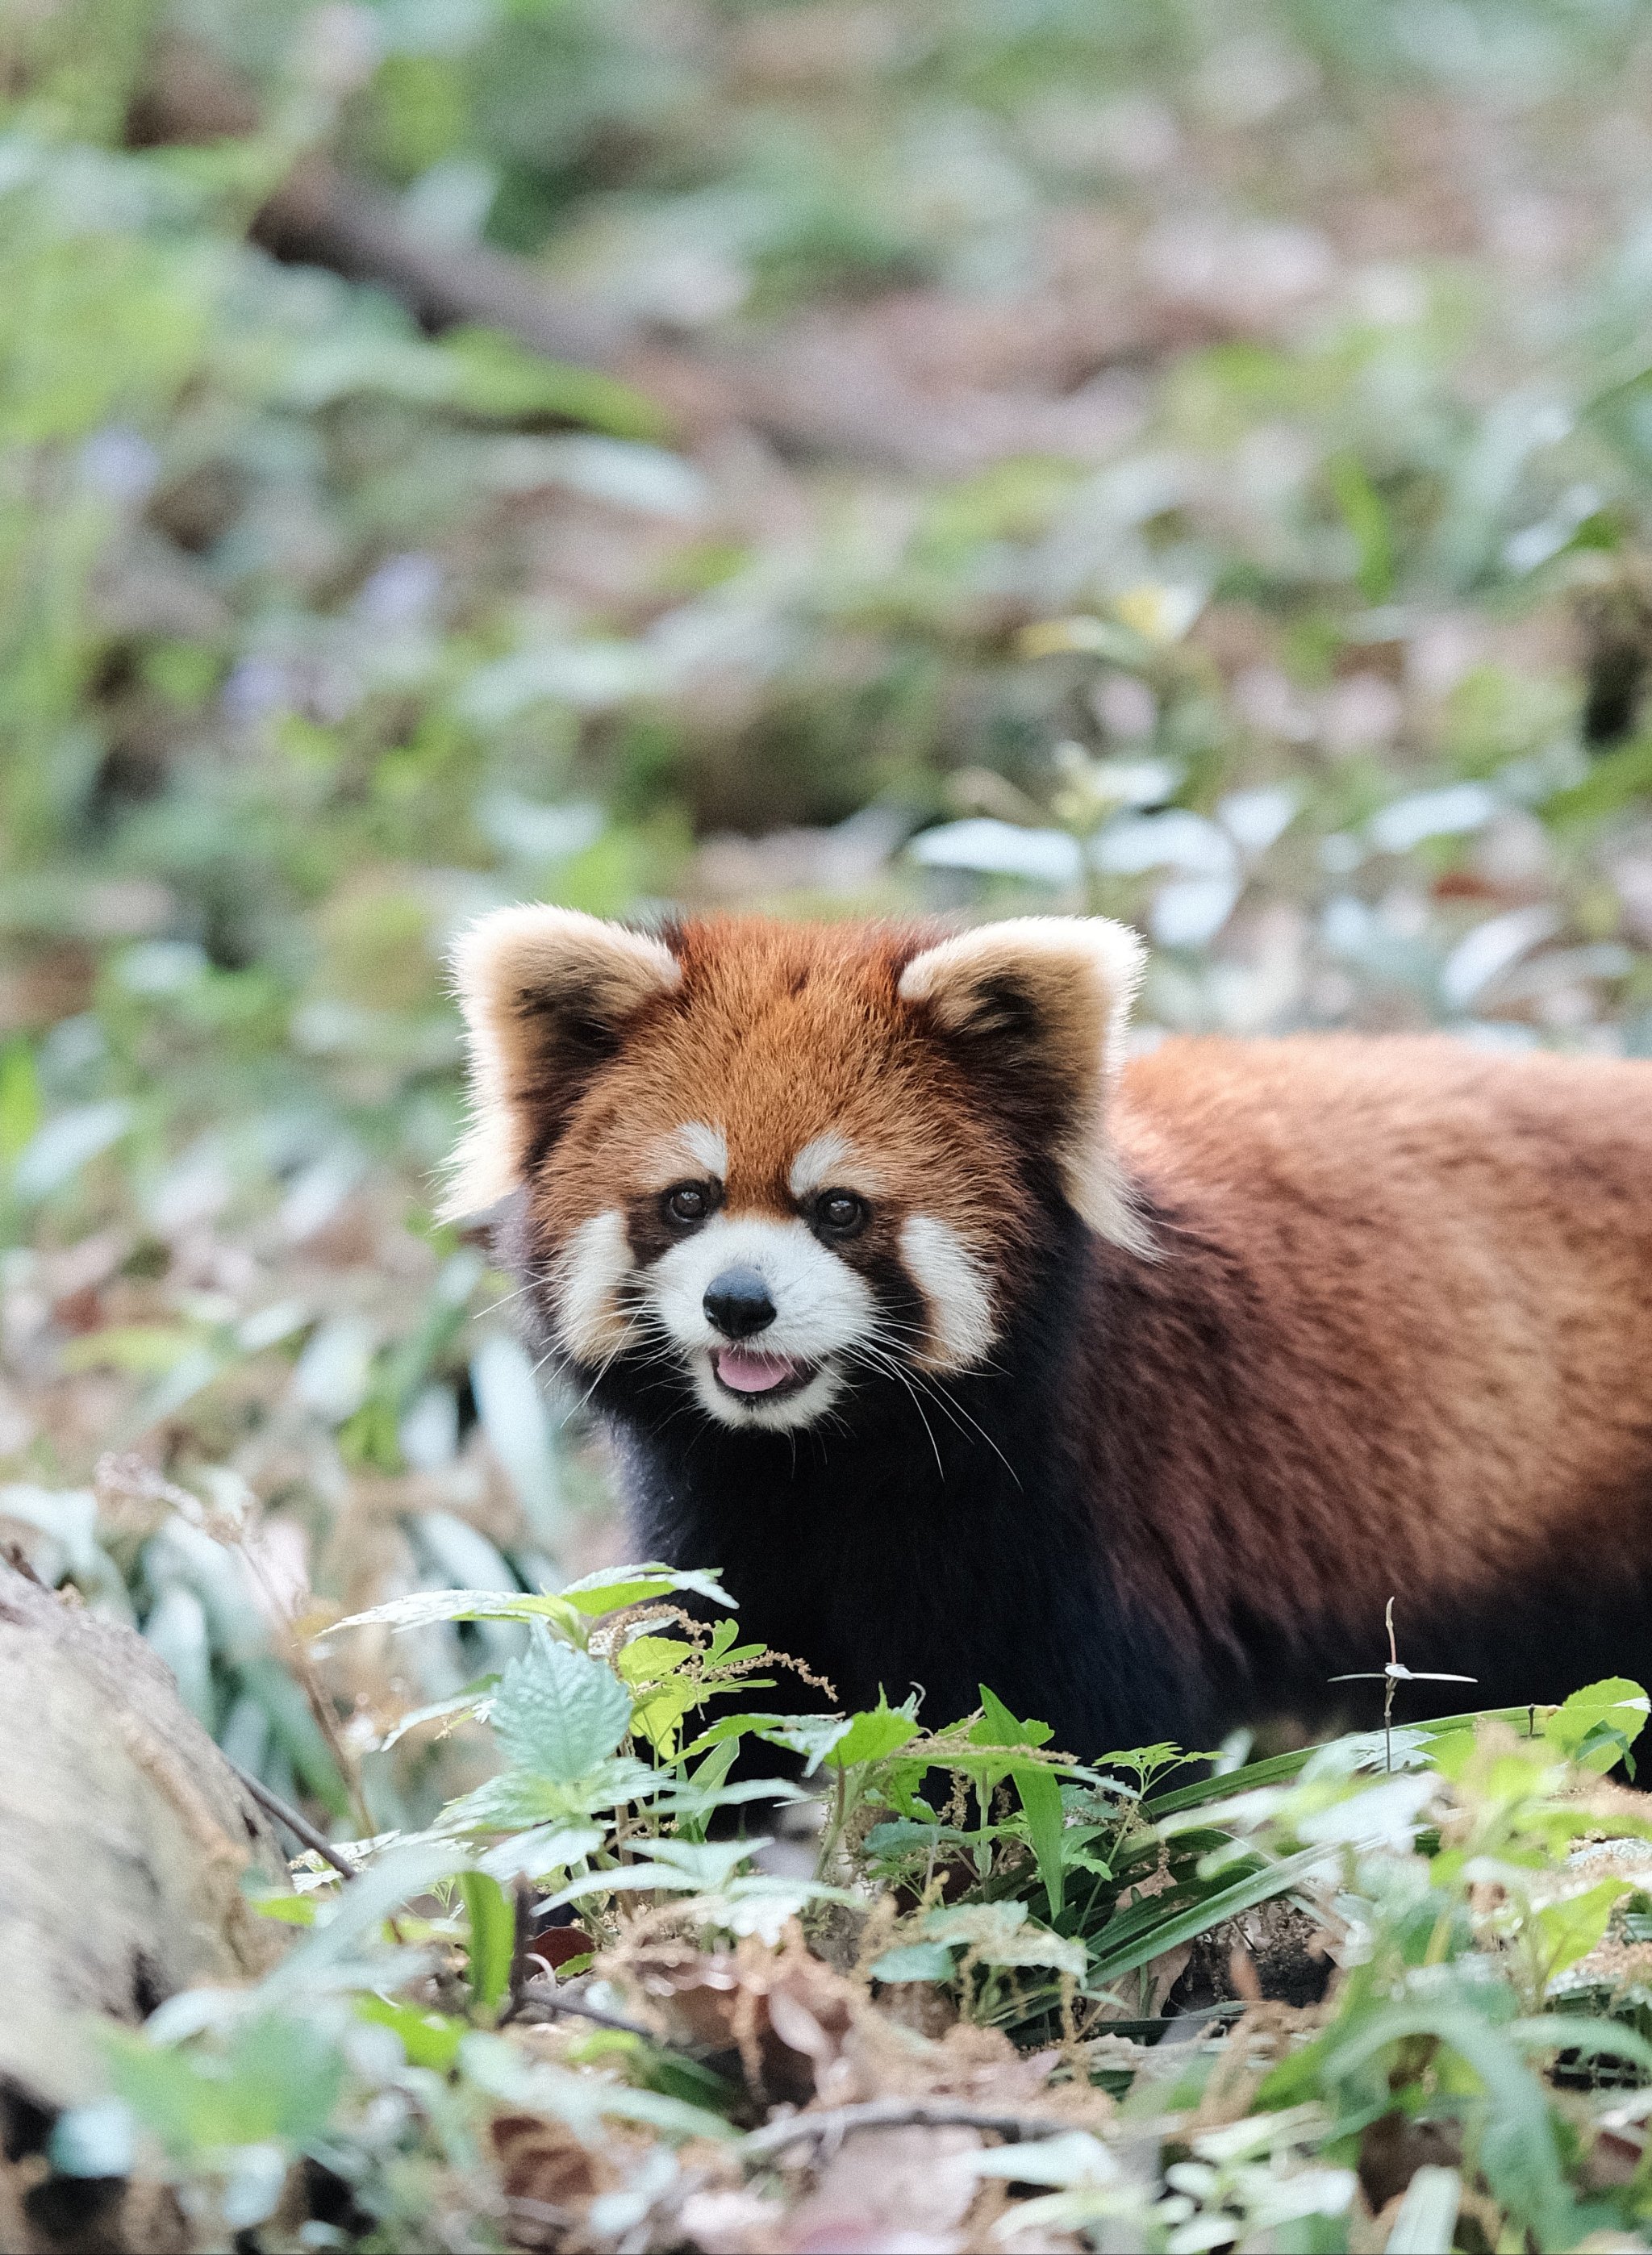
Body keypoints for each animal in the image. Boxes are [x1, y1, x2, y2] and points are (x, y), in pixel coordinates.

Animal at [444, 906, 1650, 1749]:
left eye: (839, 1209)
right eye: (688, 1199)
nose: (739, 1300)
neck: (826, 1463)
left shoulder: (1082, 1523)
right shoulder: (719, 1524)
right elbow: (706, 1711)